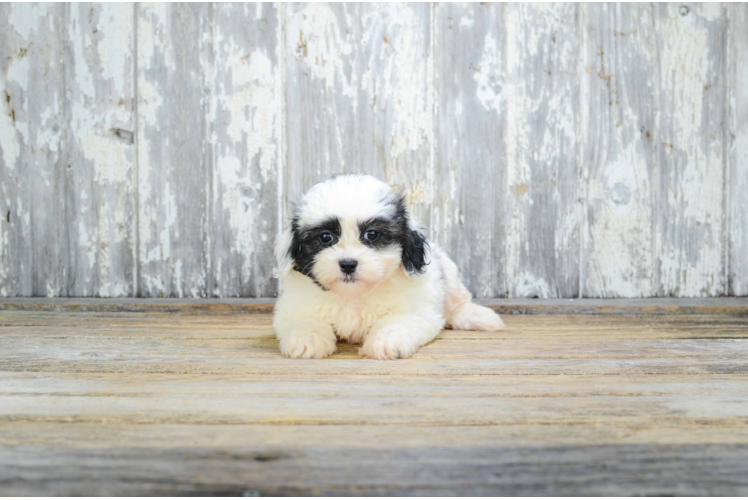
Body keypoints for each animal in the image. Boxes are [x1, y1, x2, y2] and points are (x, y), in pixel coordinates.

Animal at [272, 176, 506, 360]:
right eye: (325, 237)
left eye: (372, 234)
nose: (348, 264)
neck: (353, 295)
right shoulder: (296, 306)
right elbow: (304, 320)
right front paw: (306, 340)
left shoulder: (414, 308)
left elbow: (397, 322)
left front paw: (385, 343)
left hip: (448, 272)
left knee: (456, 303)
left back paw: (479, 317)